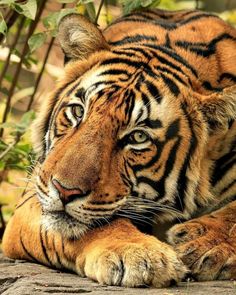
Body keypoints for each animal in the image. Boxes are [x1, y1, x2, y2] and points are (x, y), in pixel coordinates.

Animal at [1, 7, 236, 290]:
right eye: (78, 112)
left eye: (137, 137)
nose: (64, 191)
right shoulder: (35, 193)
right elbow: (96, 225)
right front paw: (141, 255)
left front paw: (205, 244)